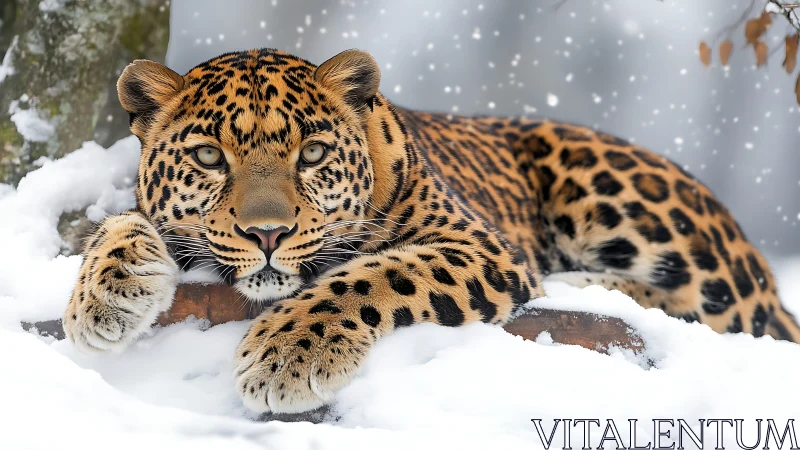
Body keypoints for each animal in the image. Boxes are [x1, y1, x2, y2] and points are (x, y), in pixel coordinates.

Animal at [63, 48, 800, 414]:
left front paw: (286, 356)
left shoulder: (477, 246)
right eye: (210, 157)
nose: (267, 233)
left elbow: (374, 274)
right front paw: (105, 295)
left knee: (730, 314)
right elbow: (123, 220)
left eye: (313, 154)